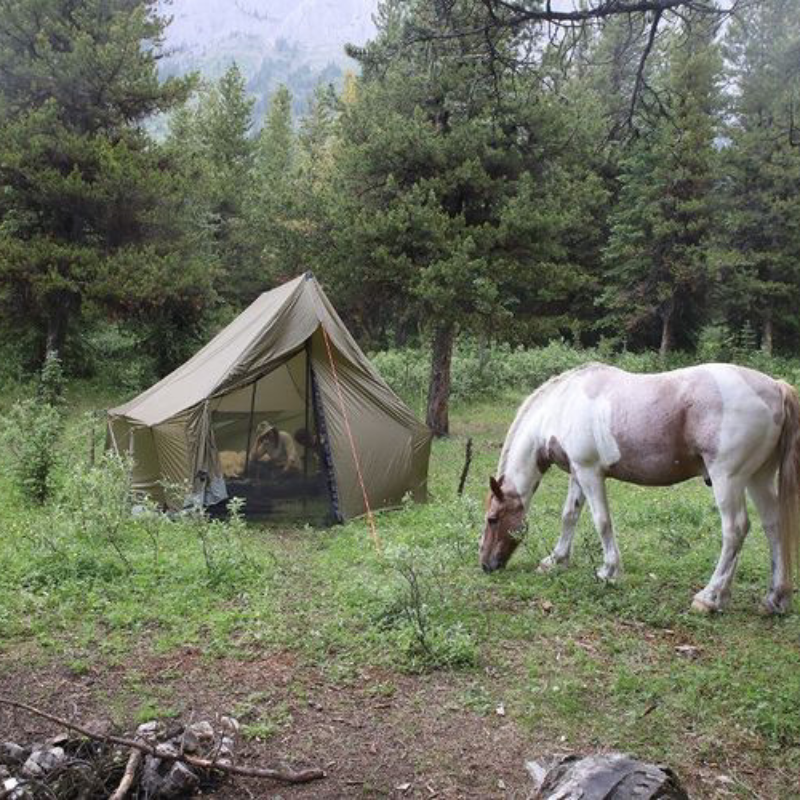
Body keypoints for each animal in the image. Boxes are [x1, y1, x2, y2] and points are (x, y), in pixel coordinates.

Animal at [479, 363, 800, 614]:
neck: (563, 405)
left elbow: (602, 521)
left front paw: (608, 571)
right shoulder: (578, 474)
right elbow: (569, 516)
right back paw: (774, 598)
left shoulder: (590, 472)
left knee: (735, 530)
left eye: (492, 519)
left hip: (728, 479)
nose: (485, 565)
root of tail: (775, 387)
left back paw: (709, 598)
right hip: (757, 478)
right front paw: (555, 561)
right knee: (773, 527)